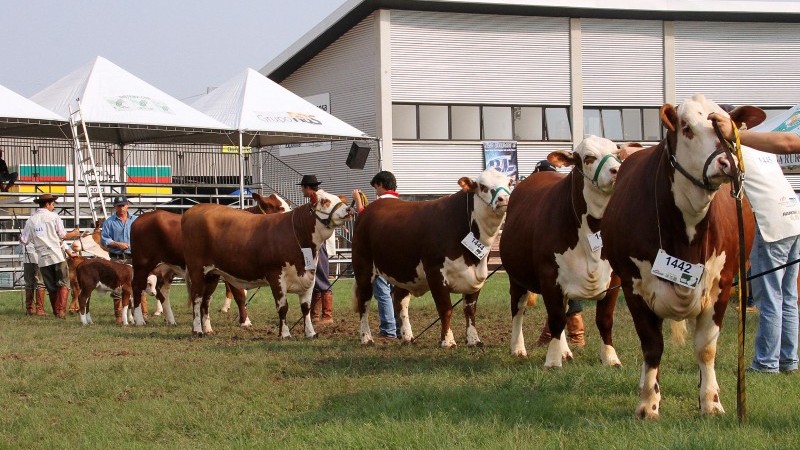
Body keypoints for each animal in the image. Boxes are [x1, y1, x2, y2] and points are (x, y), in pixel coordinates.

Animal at [130, 192, 292, 326]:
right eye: (278, 207)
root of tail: (142, 217)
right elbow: (239, 295)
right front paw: (245, 321)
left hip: (167, 267)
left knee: (162, 291)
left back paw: (171, 320)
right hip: (142, 263)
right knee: (137, 286)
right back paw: (139, 320)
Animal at [184, 189, 354, 338]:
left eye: (339, 200)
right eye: (325, 201)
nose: (349, 209)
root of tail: (194, 210)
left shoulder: (309, 275)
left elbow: (306, 308)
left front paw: (310, 333)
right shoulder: (276, 276)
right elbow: (283, 307)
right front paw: (284, 334)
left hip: (212, 274)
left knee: (206, 301)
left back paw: (207, 329)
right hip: (197, 271)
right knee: (197, 299)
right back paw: (197, 330)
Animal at [352, 169, 512, 348]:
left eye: (509, 183)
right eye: (483, 186)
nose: (504, 199)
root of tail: (368, 210)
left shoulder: (477, 276)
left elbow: (470, 309)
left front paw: (474, 340)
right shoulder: (435, 273)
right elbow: (445, 308)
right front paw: (447, 341)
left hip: (405, 271)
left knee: (400, 300)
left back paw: (408, 337)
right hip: (363, 268)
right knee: (364, 302)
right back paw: (366, 338)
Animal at [500, 135, 624, 368]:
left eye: (617, 153)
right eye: (589, 157)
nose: (617, 170)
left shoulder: (614, 278)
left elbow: (604, 319)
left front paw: (611, 358)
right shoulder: (549, 275)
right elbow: (556, 319)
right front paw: (552, 360)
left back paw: (565, 351)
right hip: (517, 277)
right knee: (518, 309)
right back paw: (518, 348)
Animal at [600, 94, 764, 418]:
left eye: (728, 130)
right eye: (686, 127)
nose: (726, 163)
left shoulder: (721, 285)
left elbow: (706, 348)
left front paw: (711, 401)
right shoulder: (633, 286)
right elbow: (652, 346)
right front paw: (648, 403)